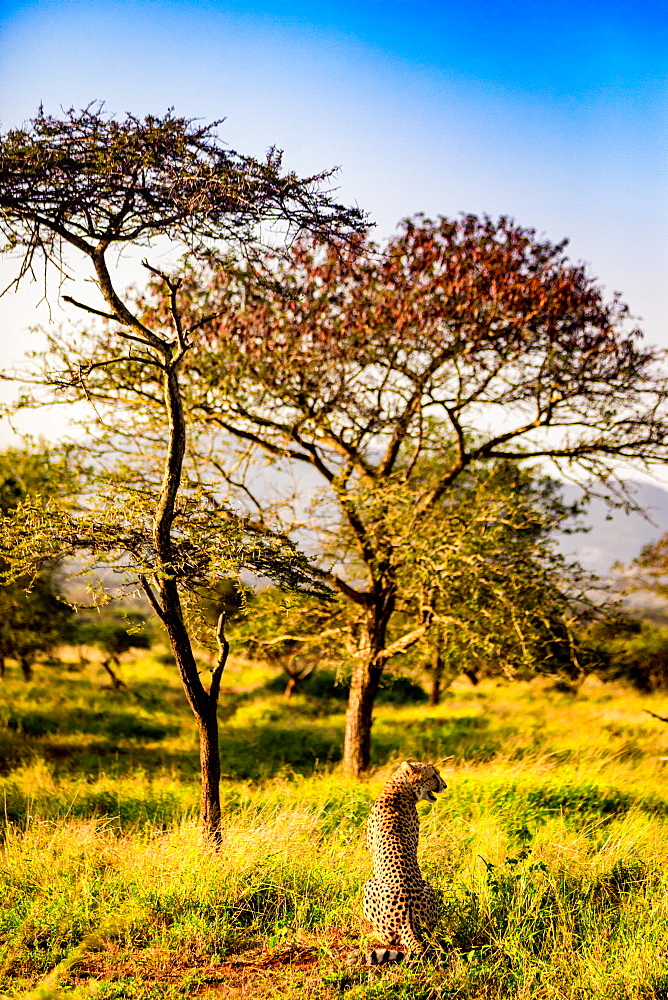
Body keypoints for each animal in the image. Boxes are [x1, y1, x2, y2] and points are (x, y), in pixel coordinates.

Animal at [354, 760, 444, 964]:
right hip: (428, 887)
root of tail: (407, 918)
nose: (445, 785)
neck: (398, 788)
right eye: (433, 775)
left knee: (386, 937)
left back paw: (369, 934)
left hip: (369, 884)